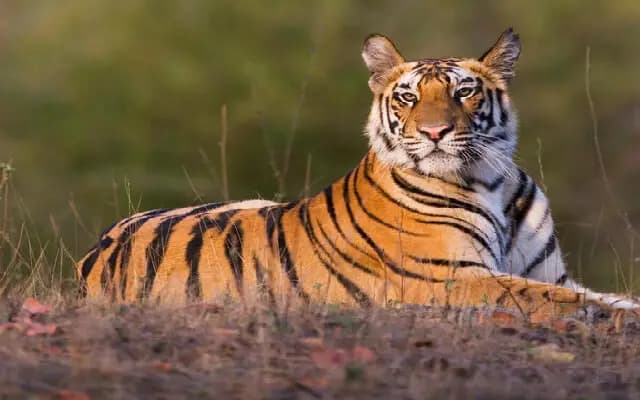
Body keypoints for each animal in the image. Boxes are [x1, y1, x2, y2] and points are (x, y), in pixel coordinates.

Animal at [77, 28, 638, 320]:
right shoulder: (452, 278)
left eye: (464, 92)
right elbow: (557, 299)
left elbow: (584, 291)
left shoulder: (548, 270)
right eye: (408, 96)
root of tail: (94, 253)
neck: (490, 182)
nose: (435, 131)